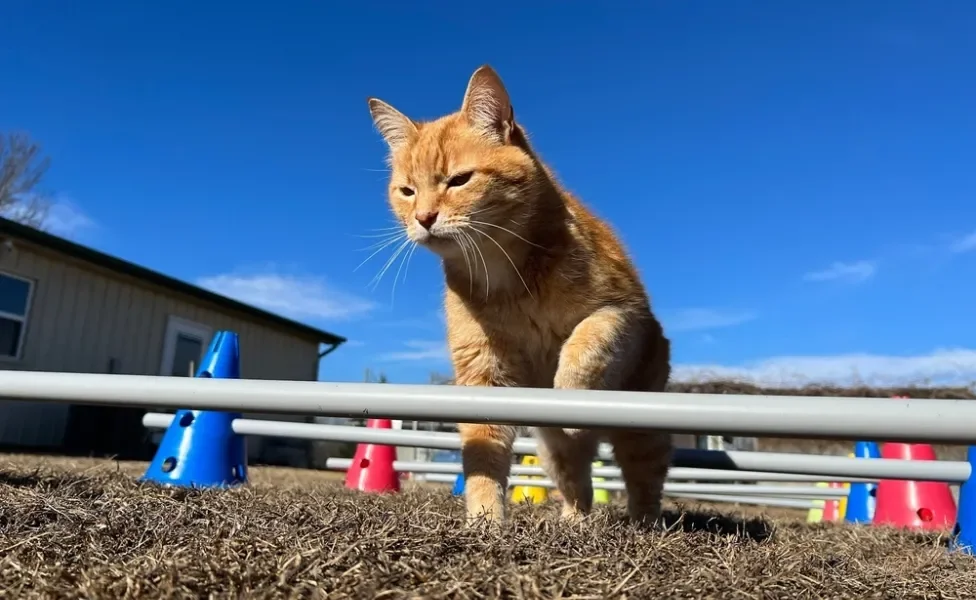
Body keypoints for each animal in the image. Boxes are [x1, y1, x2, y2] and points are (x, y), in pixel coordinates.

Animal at [366, 64, 672, 524]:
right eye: (407, 191)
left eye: (459, 180)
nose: (423, 218)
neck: (507, 277)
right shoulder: (483, 371)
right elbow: (483, 453)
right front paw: (485, 519)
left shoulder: (624, 313)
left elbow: (586, 341)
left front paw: (570, 392)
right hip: (552, 451)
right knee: (577, 482)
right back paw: (574, 521)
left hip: (642, 430)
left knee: (645, 478)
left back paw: (645, 521)